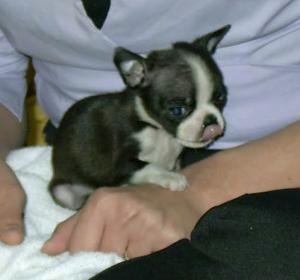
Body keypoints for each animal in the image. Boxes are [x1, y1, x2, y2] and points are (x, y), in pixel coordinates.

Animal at [48, 25, 230, 210]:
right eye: (177, 110)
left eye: (220, 98)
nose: (211, 122)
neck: (159, 131)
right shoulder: (120, 165)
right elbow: (149, 166)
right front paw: (171, 177)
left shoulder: (177, 159)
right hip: (63, 192)